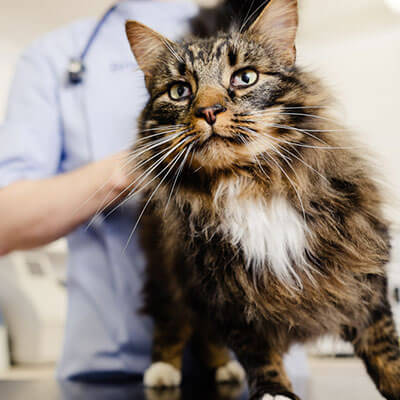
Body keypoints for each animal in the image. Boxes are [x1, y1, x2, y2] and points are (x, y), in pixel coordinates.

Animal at [125, 0, 400, 400]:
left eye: (245, 78)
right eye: (179, 91)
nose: (208, 111)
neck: (248, 184)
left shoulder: (363, 274)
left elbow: (384, 348)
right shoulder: (227, 291)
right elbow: (257, 352)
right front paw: (273, 389)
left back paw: (223, 370)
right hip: (169, 272)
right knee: (174, 323)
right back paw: (163, 371)